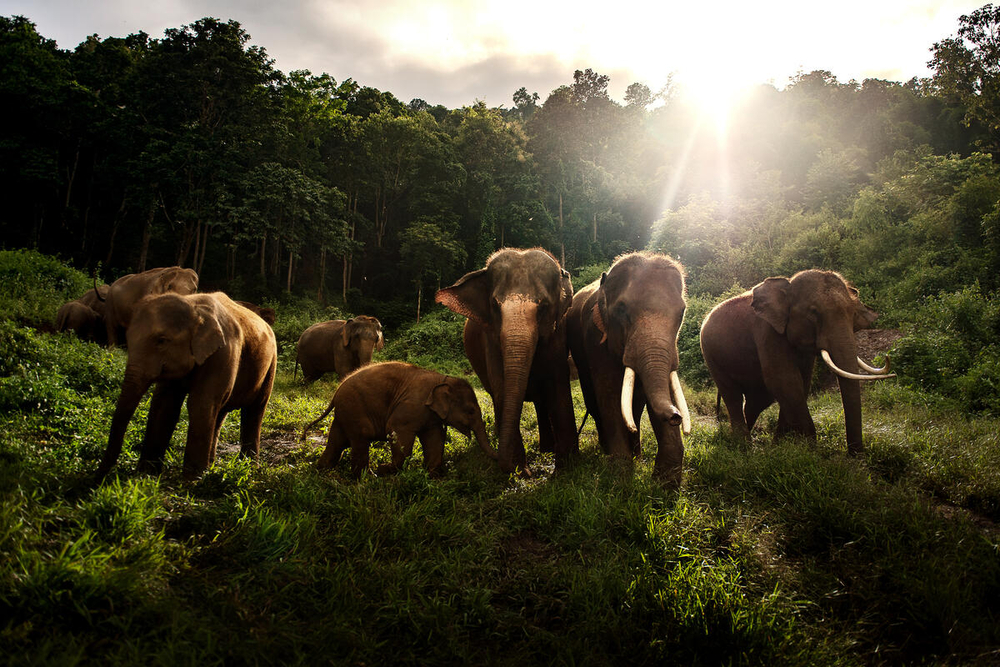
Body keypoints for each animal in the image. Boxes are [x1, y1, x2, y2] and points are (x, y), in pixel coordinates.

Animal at [96, 292, 278, 480]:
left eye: (162, 341)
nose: (98, 479)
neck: (193, 304)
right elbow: (165, 404)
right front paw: (147, 475)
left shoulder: (224, 352)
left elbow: (200, 403)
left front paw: (192, 479)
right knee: (219, 411)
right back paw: (211, 466)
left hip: (271, 364)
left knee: (254, 410)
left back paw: (248, 468)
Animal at [300, 360, 496, 480]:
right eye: (471, 411)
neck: (443, 378)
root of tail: (336, 392)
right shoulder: (412, 406)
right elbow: (397, 432)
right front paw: (385, 469)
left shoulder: (430, 416)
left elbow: (434, 439)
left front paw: (432, 476)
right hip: (354, 409)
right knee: (360, 439)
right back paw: (368, 477)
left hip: (344, 414)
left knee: (337, 442)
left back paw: (321, 470)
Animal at [436, 247, 580, 474]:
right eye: (495, 306)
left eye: (543, 306)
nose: (506, 465)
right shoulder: (490, 340)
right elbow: (502, 388)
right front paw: (521, 473)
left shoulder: (558, 336)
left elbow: (558, 388)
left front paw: (566, 470)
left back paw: (546, 450)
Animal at [568, 253, 692, 488]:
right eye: (622, 309)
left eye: (682, 313)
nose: (676, 416)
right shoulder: (595, 338)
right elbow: (609, 394)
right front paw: (619, 481)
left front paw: (666, 487)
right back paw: (608, 450)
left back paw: (636, 453)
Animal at [700, 270, 896, 454]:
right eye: (814, 313)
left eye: (853, 314)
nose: (855, 454)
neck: (788, 284)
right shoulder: (768, 333)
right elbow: (785, 381)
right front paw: (810, 450)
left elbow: (801, 383)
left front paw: (781, 446)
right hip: (711, 355)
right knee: (733, 394)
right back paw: (743, 446)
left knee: (759, 399)